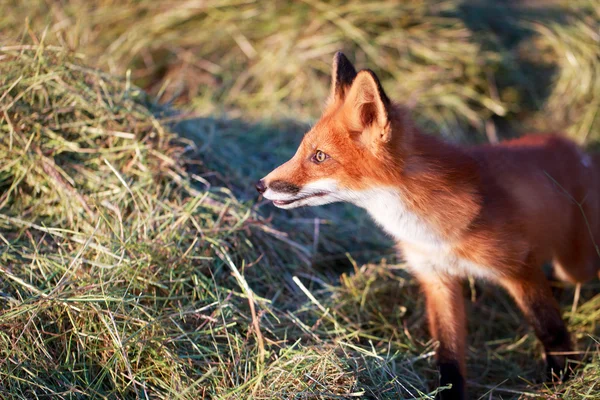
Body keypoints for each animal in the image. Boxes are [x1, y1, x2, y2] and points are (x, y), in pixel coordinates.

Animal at [255, 53, 596, 400]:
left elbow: (549, 328)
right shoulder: (436, 278)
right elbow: (448, 354)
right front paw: (449, 393)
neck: (429, 232)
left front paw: (562, 377)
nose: (260, 185)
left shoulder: (518, 268)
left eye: (320, 156)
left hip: (577, 265)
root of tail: (572, 146)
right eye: (304, 151)